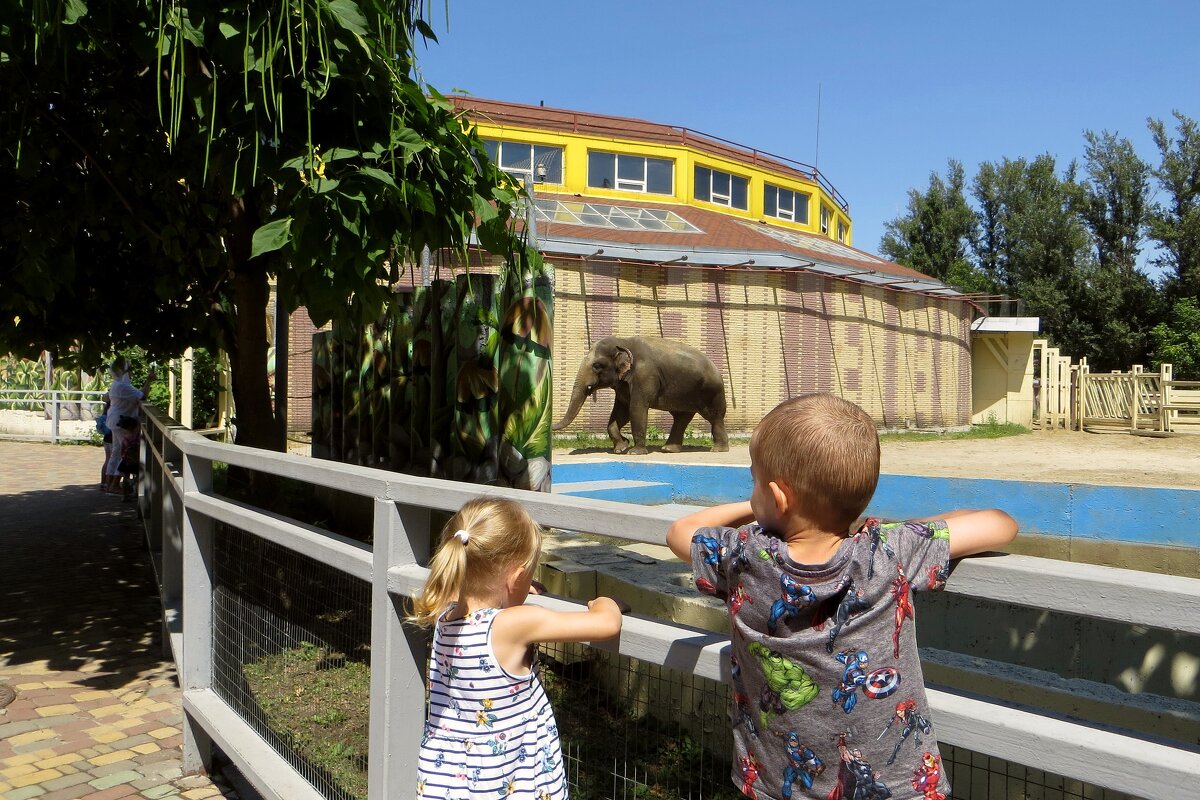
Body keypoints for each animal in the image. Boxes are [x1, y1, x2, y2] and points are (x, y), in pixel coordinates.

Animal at [552, 335, 729, 453]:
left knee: (714, 417)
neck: (623, 342)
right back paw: (668, 449)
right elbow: (620, 412)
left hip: (712, 392)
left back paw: (718, 450)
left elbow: (636, 409)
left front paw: (634, 452)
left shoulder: (644, 376)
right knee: (681, 417)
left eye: (597, 366)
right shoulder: (623, 385)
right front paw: (621, 448)